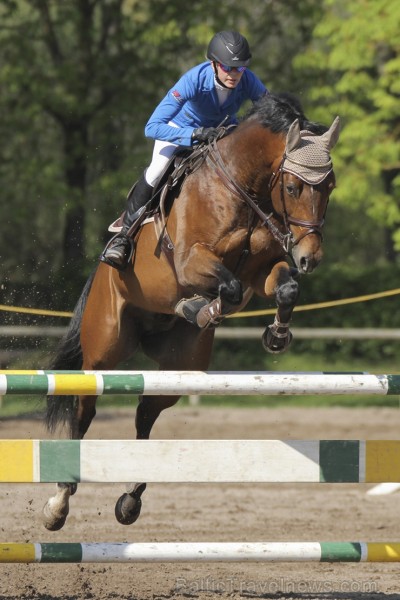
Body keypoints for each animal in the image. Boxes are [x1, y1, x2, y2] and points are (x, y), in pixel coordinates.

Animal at [43, 92, 340, 528]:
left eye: (330, 186)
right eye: (292, 186)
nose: (309, 258)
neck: (242, 188)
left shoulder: (261, 271)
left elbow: (283, 288)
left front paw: (275, 335)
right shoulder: (190, 261)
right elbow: (229, 287)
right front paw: (198, 306)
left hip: (180, 367)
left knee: (147, 412)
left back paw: (130, 498)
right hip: (102, 350)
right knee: (85, 411)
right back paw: (59, 502)